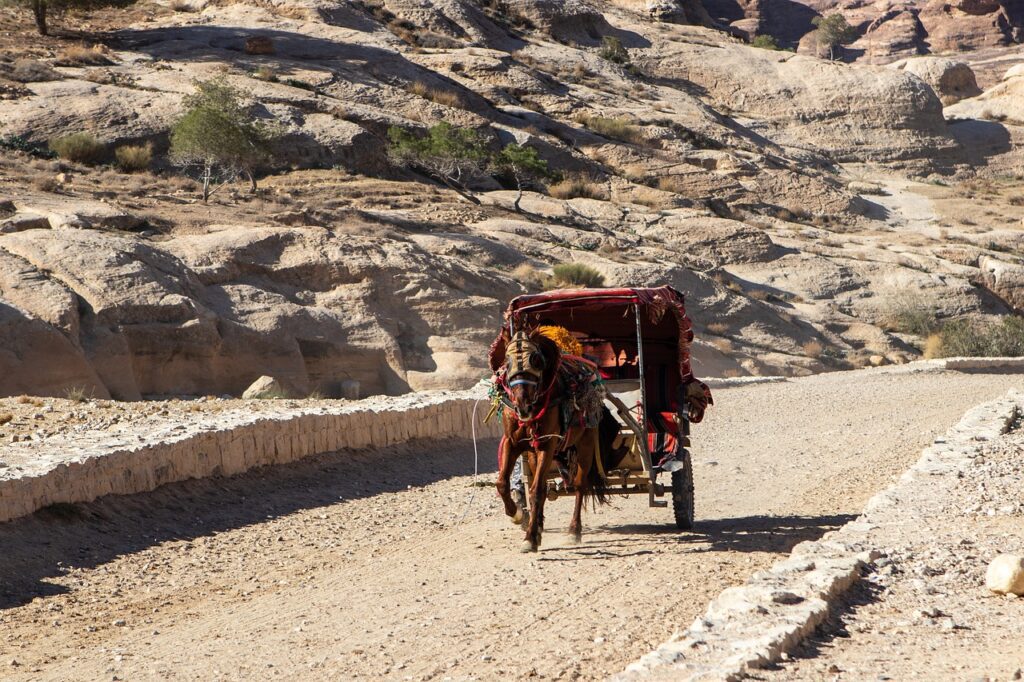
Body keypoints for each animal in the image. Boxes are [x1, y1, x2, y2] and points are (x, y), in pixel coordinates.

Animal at [489, 329, 610, 552]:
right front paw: (519, 516)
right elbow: (502, 483)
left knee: (579, 485)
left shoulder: (548, 443)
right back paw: (538, 525)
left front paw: (529, 537)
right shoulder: (513, 442)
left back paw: (573, 530)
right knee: (544, 485)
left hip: (586, 442)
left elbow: (536, 491)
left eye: (536, 360)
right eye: (507, 363)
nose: (523, 406)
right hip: (533, 453)